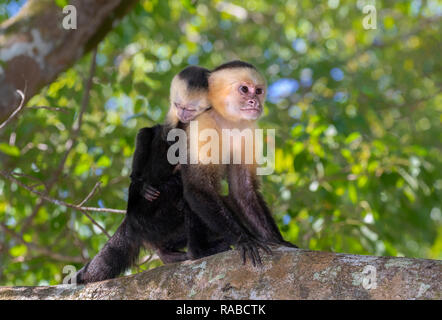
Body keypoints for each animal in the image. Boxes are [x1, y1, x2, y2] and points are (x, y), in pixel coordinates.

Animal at [71, 66, 230, 284]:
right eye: (180, 106)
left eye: (191, 109)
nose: (183, 113)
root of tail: (131, 221)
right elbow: (157, 135)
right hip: (151, 215)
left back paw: (168, 253)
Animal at [180, 61, 296, 266]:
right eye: (244, 89)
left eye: (258, 91)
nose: (255, 102)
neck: (226, 120)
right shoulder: (202, 124)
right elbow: (198, 187)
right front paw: (245, 239)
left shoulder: (248, 129)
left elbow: (242, 191)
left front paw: (276, 240)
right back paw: (199, 251)